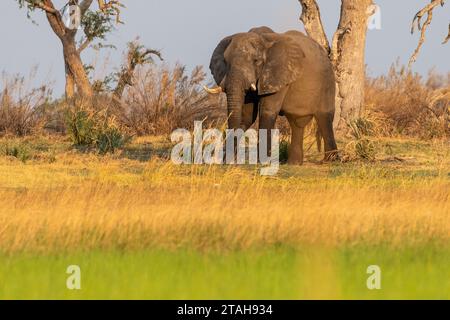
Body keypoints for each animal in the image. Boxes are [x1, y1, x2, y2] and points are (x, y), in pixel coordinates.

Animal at [206, 26, 340, 164]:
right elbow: (247, 116)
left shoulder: (278, 75)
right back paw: (294, 164)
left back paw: (331, 160)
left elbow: (267, 111)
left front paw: (262, 162)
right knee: (296, 123)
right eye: (226, 61)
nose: (227, 161)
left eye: (256, 61)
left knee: (324, 117)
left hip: (328, 81)